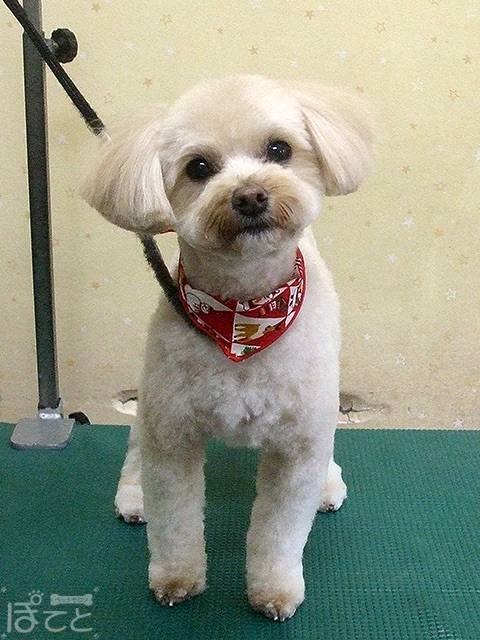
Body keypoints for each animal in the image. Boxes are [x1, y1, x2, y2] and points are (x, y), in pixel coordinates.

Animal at [81, 74, 374, 621]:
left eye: (279, 149)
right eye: (199, 167)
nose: (251, 195)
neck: (243, 312)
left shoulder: (298, 445)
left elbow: (280, 533)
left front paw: (275, 589)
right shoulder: (172, 433)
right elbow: (174, 521)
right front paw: (176, 579)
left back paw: (328, 484)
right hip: (152, 398)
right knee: (136, 446)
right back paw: (133, 495)